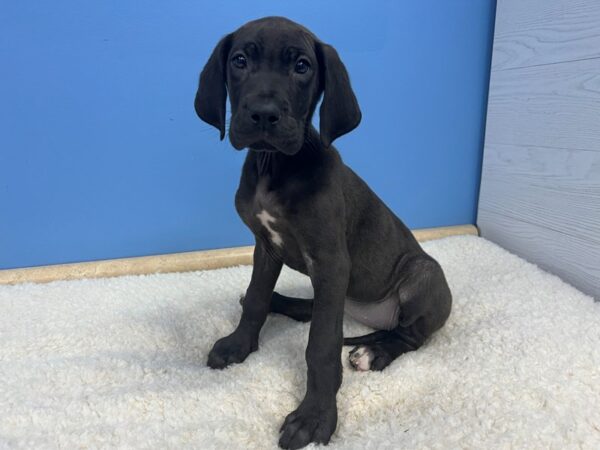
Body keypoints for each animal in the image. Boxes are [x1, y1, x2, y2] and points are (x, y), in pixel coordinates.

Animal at [195, 16, 452, 450]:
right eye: (240, 60)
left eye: (302, 67)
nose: (263, 115)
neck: (275, 167)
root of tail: (371, 316)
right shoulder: (265, 248)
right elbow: (255, 300)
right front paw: (239, 345)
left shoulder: (330, 262)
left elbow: (321, 345)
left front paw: (314, 416)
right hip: (338, 293)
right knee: (308, 308)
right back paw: (285, 302)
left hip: (422, 276)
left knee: (408, 336)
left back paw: (374, 353)